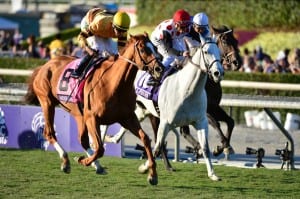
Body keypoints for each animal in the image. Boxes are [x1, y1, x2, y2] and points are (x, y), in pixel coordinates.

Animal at [23, 33, 163, 185]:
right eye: (143, 49)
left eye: (155, 47)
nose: (159, 69)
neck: (114, 83)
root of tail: (44, 65)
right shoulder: (92, 118)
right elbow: (100, 148)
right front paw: (83, 161)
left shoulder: (127, 117)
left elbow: (145, 139)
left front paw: (153, 174)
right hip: (47, 102)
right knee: (49, 133)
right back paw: (66, 160)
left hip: (78, 115)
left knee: (82, 140)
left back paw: (96, 166)